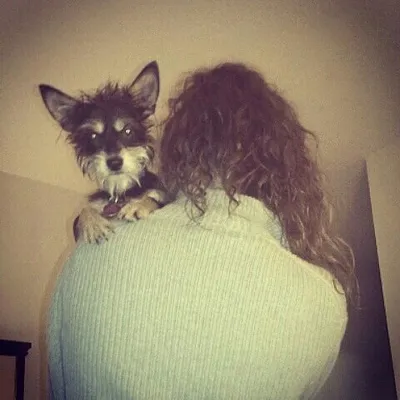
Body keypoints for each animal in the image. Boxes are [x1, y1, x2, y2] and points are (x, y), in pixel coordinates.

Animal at [39, 61, 168, 244]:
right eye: (93, 136)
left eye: (127, 131)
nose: (114, 162)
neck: (120, 190)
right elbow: (83, 211)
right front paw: (93, 224)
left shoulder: (164, 196)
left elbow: (152, 198)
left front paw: (138, 205)